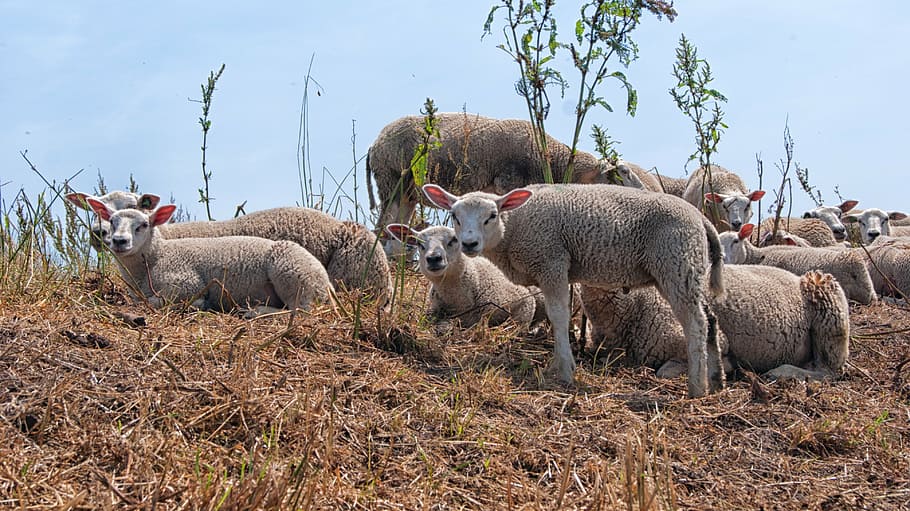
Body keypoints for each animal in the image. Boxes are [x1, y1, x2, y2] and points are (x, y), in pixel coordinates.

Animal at [85, 199, 333, 314]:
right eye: (112, 221)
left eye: (144, 225)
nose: (119, 241)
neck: (157, 256)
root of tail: (326, 282)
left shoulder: (185, 282)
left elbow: (155, 301)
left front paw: (199, 304)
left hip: (294, 277)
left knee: (300, 311)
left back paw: (254, 312)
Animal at [366, 113, 616, 255]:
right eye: (613, 177)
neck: (551, 159)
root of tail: (375, 143)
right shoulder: (509, 180)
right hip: (391, 180)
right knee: (382, 228)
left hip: (406, 193)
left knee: (395, 229)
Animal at [421, 182, 726, 397]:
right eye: (454, 216)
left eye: (492, 215)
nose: (469, 243)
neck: (513, 227)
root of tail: (701, 219)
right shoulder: (554, 269)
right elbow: (558, 316)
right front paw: (557, 364)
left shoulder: (551, 260)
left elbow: (558, 316)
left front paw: (566, 372)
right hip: (686, 270)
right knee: (710, 320)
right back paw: (716, 379)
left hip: (675, 262)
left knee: (696, 324)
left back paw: (696, 387)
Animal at [581, 265, 850, 381]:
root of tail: (796, 277)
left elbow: (666, 371)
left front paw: (726, 365)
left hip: (827, 299)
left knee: (827, 371)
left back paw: (782, 372)